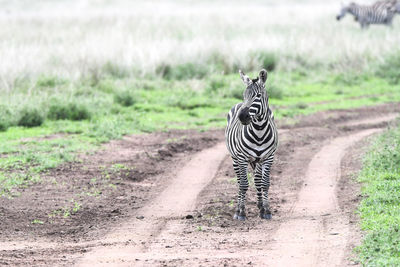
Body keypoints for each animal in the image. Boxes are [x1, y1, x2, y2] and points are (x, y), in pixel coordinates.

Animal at [225, 69, 278, 222]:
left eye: (258, 96)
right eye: (244, 95)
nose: (242, 116)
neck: (259, 131)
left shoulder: (268, 158)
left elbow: (264, 183)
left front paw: (266, 210)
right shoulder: (242, 158)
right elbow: (243, 184)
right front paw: (241, 212)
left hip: (257, 161)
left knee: (257, 180)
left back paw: (260, 206)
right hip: (235, 158)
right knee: (239, 181)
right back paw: (238, 208)